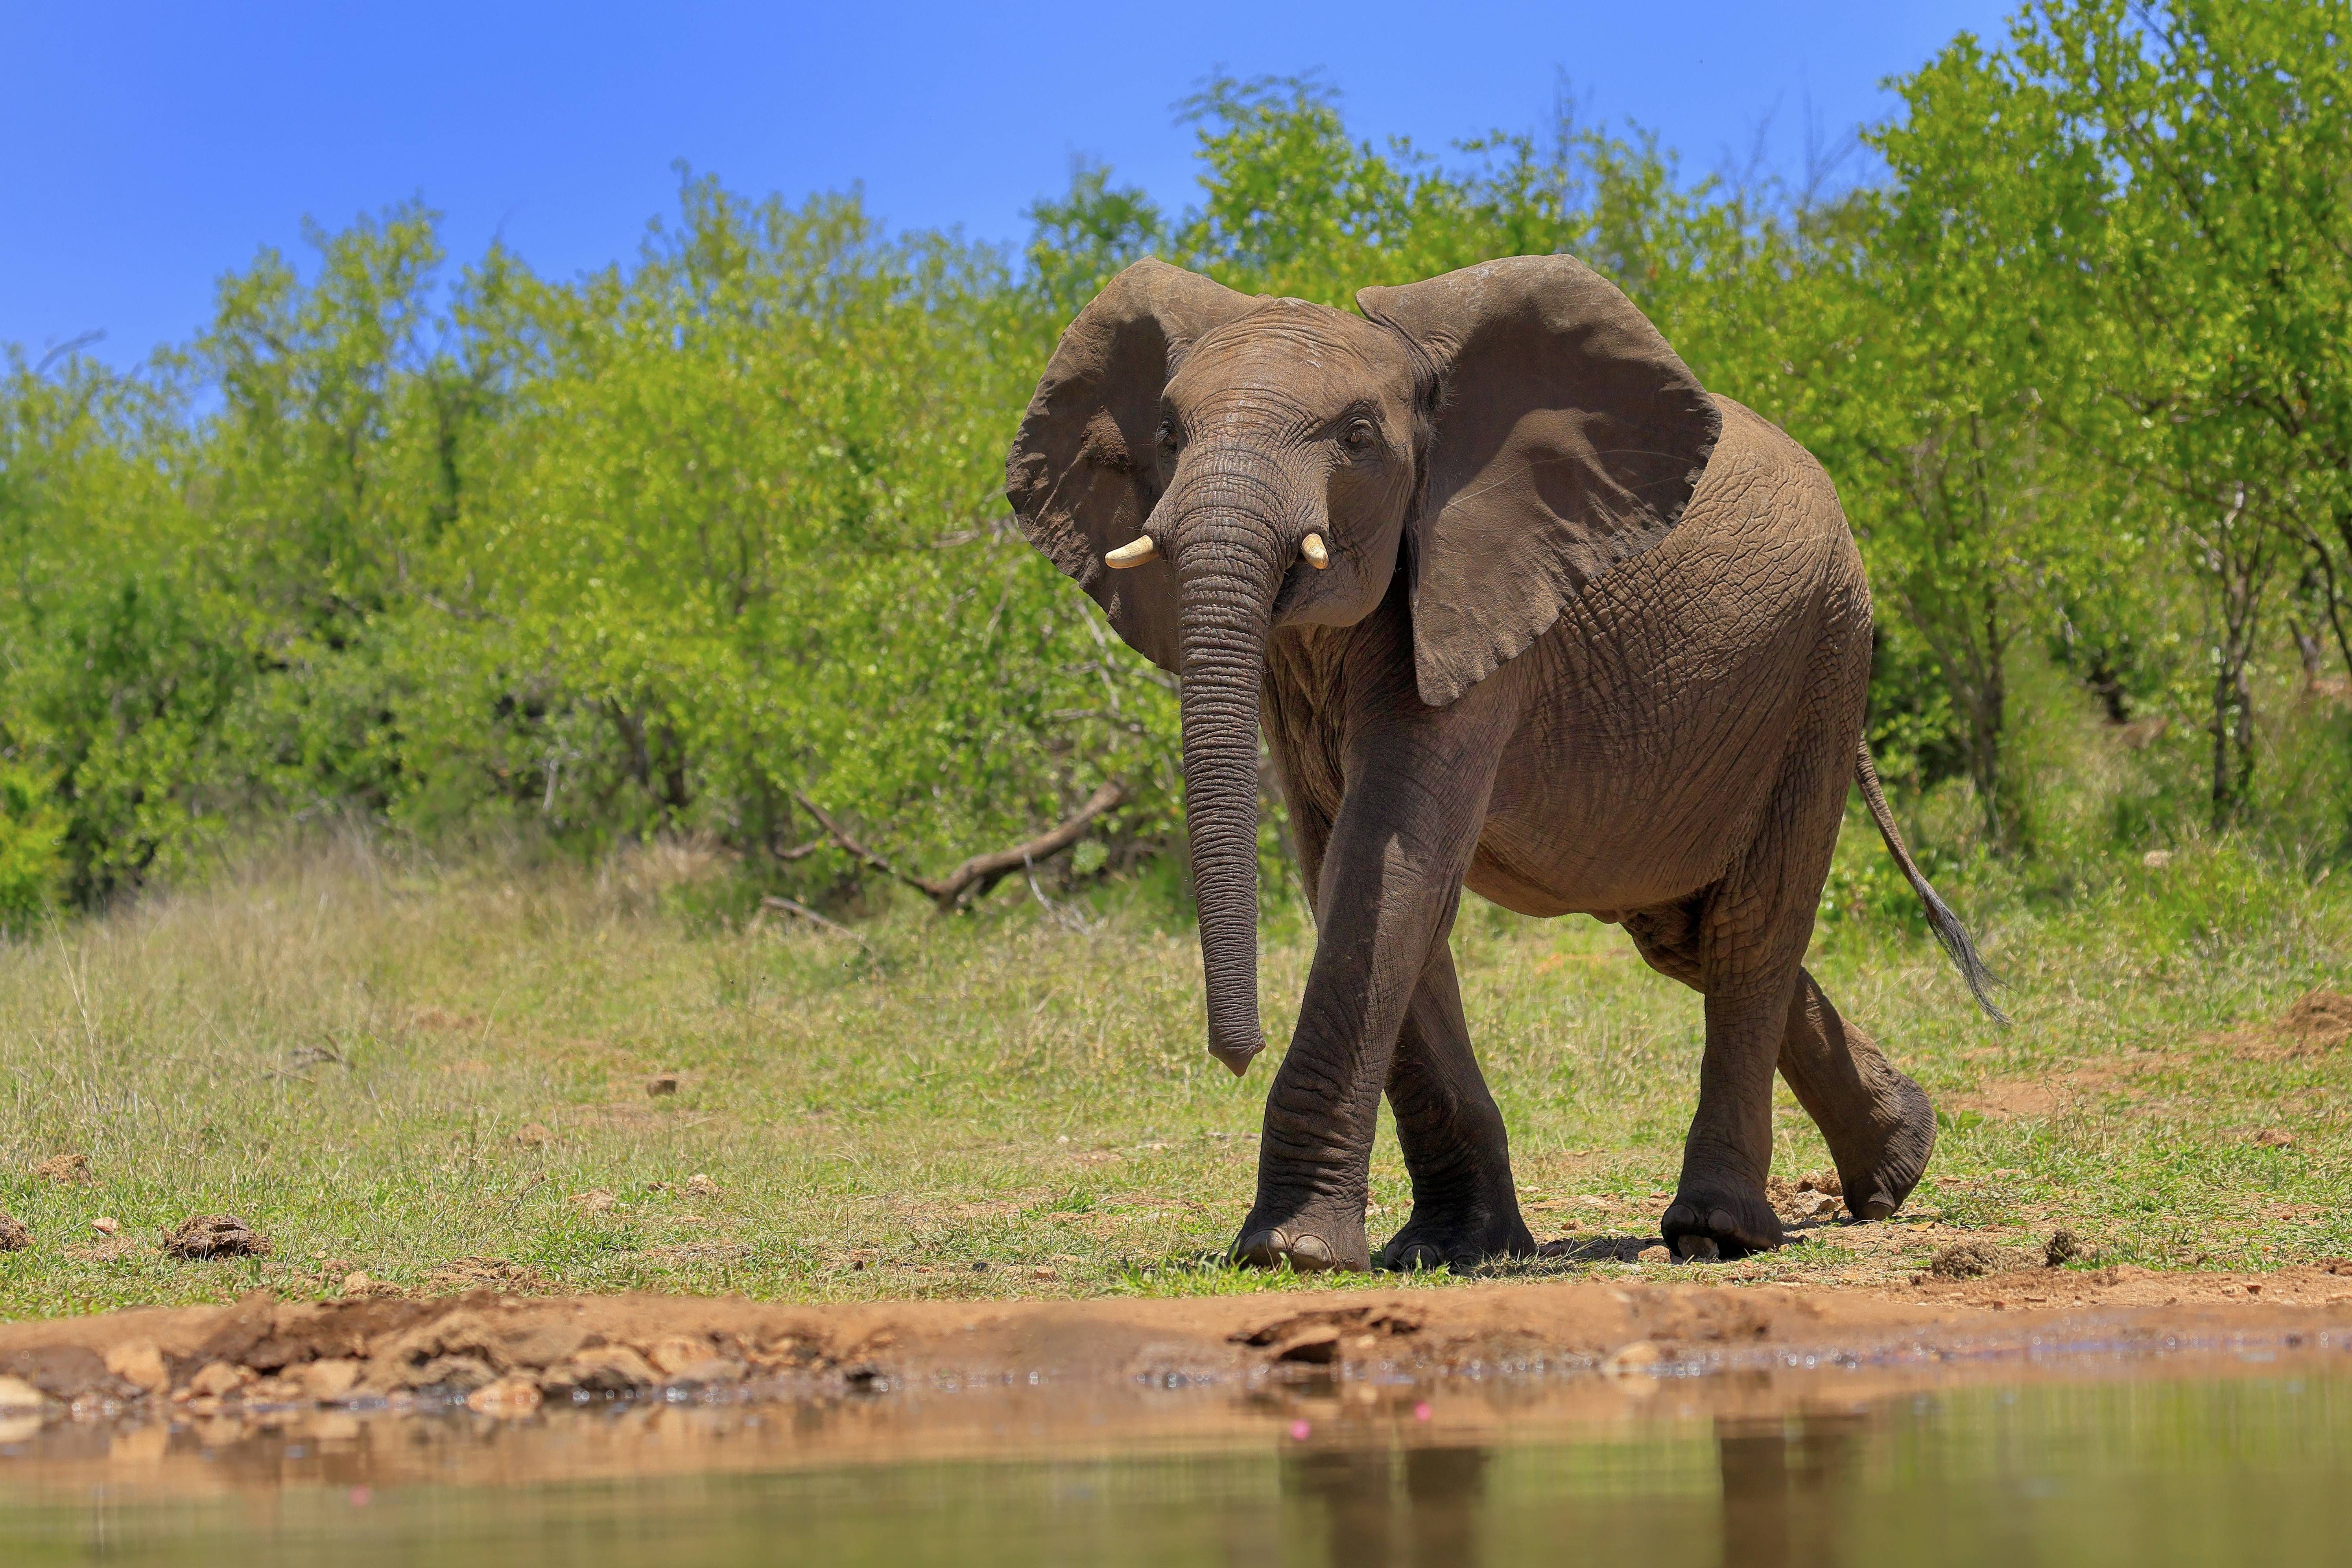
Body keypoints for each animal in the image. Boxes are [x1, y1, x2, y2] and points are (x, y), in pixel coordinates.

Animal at [1004, 254, 2000, 1270]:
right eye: (1168, 434)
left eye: (1358, 437)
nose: (1234, 1055)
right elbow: (1351, 872)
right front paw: (1454, 1247)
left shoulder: (1479, 590)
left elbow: (1388, 861)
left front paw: (1291, 1252)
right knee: (1684, 934)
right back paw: (1898, 1162)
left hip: (1823, 661)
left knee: (1750, 926)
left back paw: (1717, 1231)